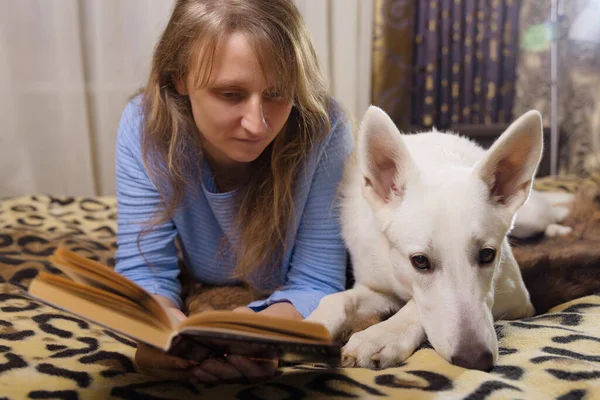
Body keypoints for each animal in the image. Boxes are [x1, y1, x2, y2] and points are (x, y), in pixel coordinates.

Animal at [308, 107, 540, 372]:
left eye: (487, 255)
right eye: (419, 261)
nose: (475, 360)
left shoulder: (520, 302)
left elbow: (414, 307)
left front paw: (381, 335)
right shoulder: (377, 289)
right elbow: (338, 299)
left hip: (534, 217)